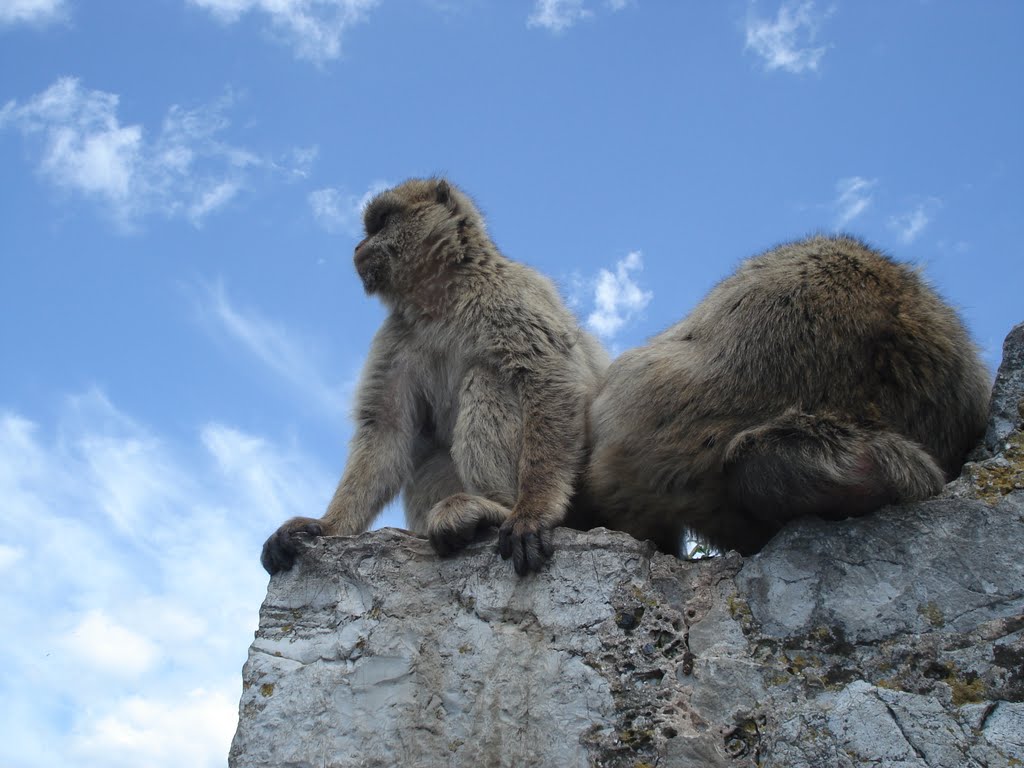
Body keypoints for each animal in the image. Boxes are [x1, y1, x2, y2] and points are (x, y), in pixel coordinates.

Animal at [260, 179, 606, 577]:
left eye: (382, 222)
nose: (358, 246)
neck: (440, 298)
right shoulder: (395, 334)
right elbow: (386, 426)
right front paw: (328, 525)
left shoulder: (510, 293)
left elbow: (548, 378)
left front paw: (534, 509)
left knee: (487, 378)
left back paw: (495, 508)